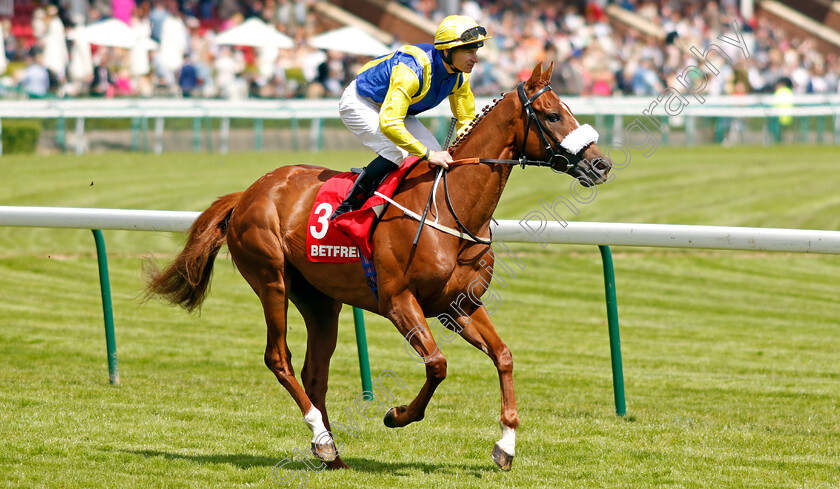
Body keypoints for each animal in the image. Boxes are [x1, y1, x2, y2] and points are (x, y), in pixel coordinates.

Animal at [146, 62, 612, 468]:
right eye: (552, 114)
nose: (600, 164)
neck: (450, 208)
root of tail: (247, 192)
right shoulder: (397, 301)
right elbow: (437, 365)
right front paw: (397, 414)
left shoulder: (458, 304)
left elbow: (504, 356)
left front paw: (506, 445)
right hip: (271, 280)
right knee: (278, 358)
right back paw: (322, 438)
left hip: (320, 301)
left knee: (314, 372)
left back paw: (330, 453)